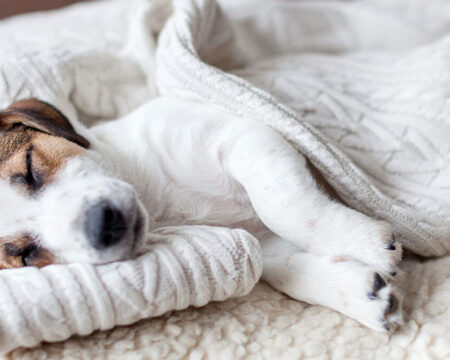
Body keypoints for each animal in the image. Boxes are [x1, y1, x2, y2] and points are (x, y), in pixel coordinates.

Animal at [0, 97, 402, 332]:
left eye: (31, 168)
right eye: (26, 254)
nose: (102, 226)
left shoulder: (244, 137)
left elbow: (285, 208)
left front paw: (365, 244)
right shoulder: (262, 242)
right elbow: (288, 268)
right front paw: (355, 292)